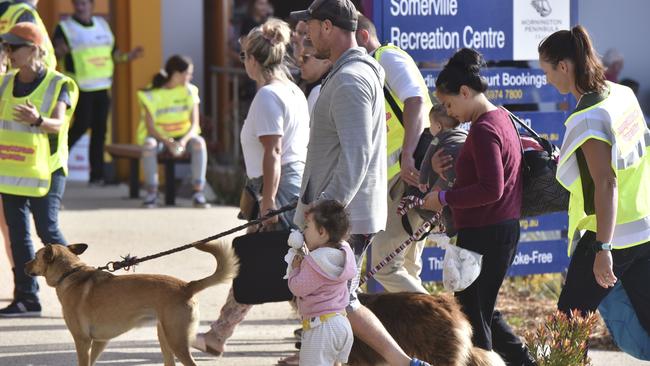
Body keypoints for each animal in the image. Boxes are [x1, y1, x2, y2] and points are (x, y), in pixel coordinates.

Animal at [26, 242, 238, 364]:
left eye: (35, 256)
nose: (23, 265)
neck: (70, 273)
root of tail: (187, 286)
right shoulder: (100, 341)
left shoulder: (82, 340)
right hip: (166, 338)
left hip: (177, 342)